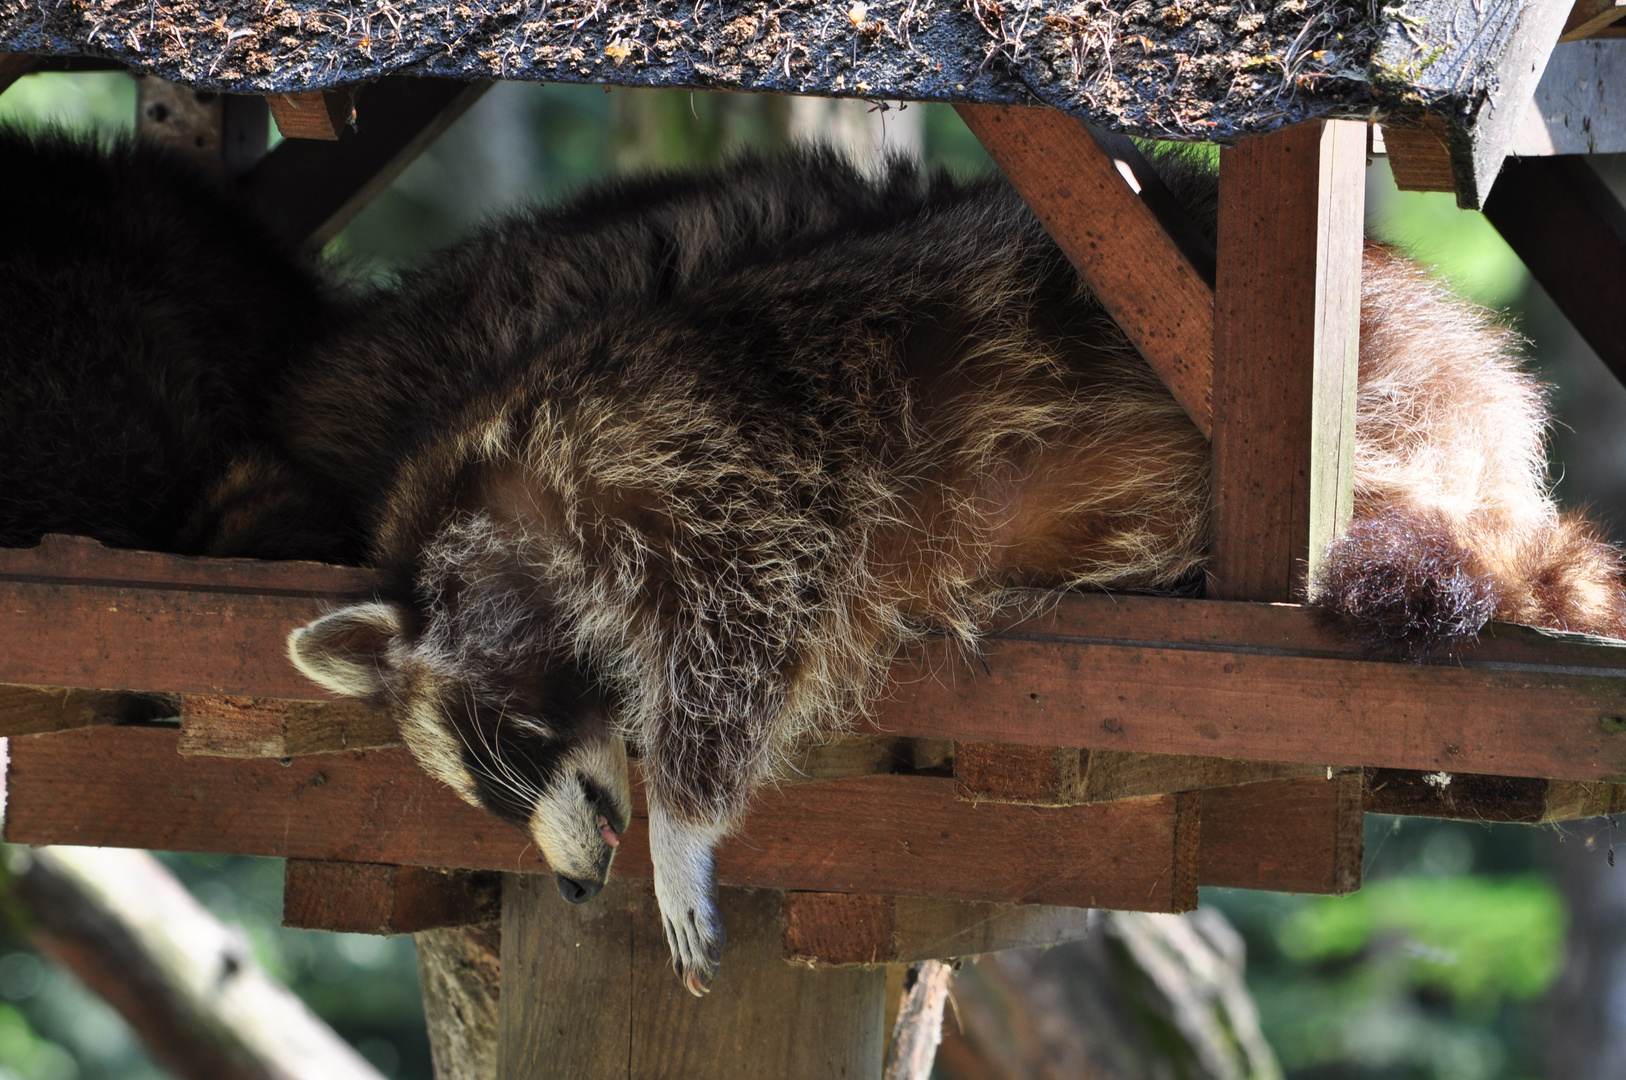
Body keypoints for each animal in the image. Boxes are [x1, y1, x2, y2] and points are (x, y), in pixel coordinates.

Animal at [276, 148, 1626, 988]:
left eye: (509, 739)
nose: (568, 884)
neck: (496, 483)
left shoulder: (710, 465)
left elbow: (744, 633)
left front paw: (683, 825)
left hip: (1396, 388)